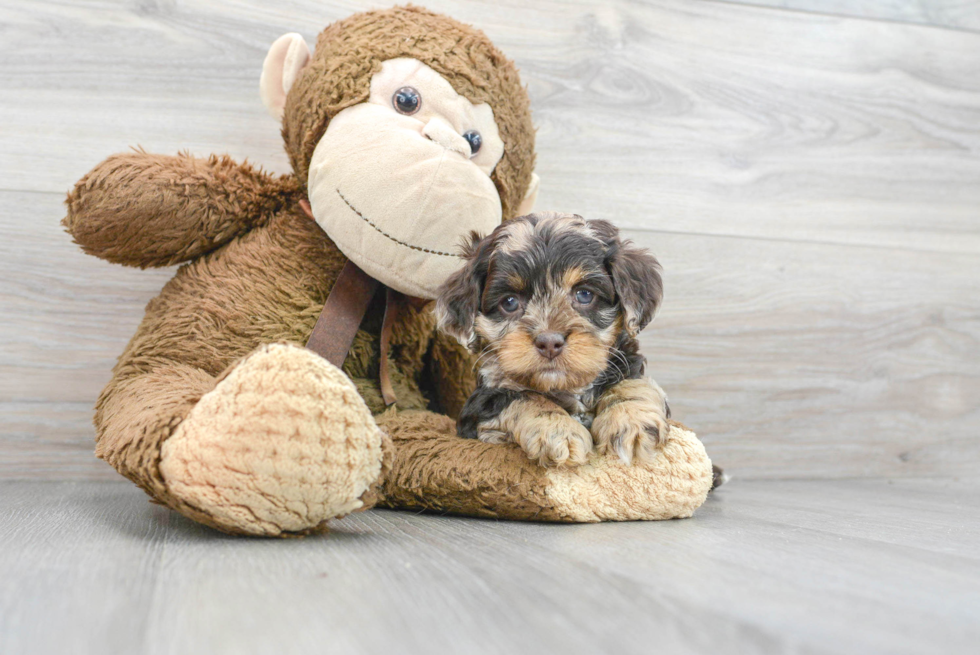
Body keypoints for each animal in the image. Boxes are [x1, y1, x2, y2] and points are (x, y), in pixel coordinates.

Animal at [438, 211, 672, 466]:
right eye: (509, 302)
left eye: (584, 294)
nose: (549, 342)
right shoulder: (479, 406)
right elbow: (524, 397)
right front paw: (558, 429)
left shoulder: (626, 362)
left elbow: (630, 383)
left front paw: (630, 419)